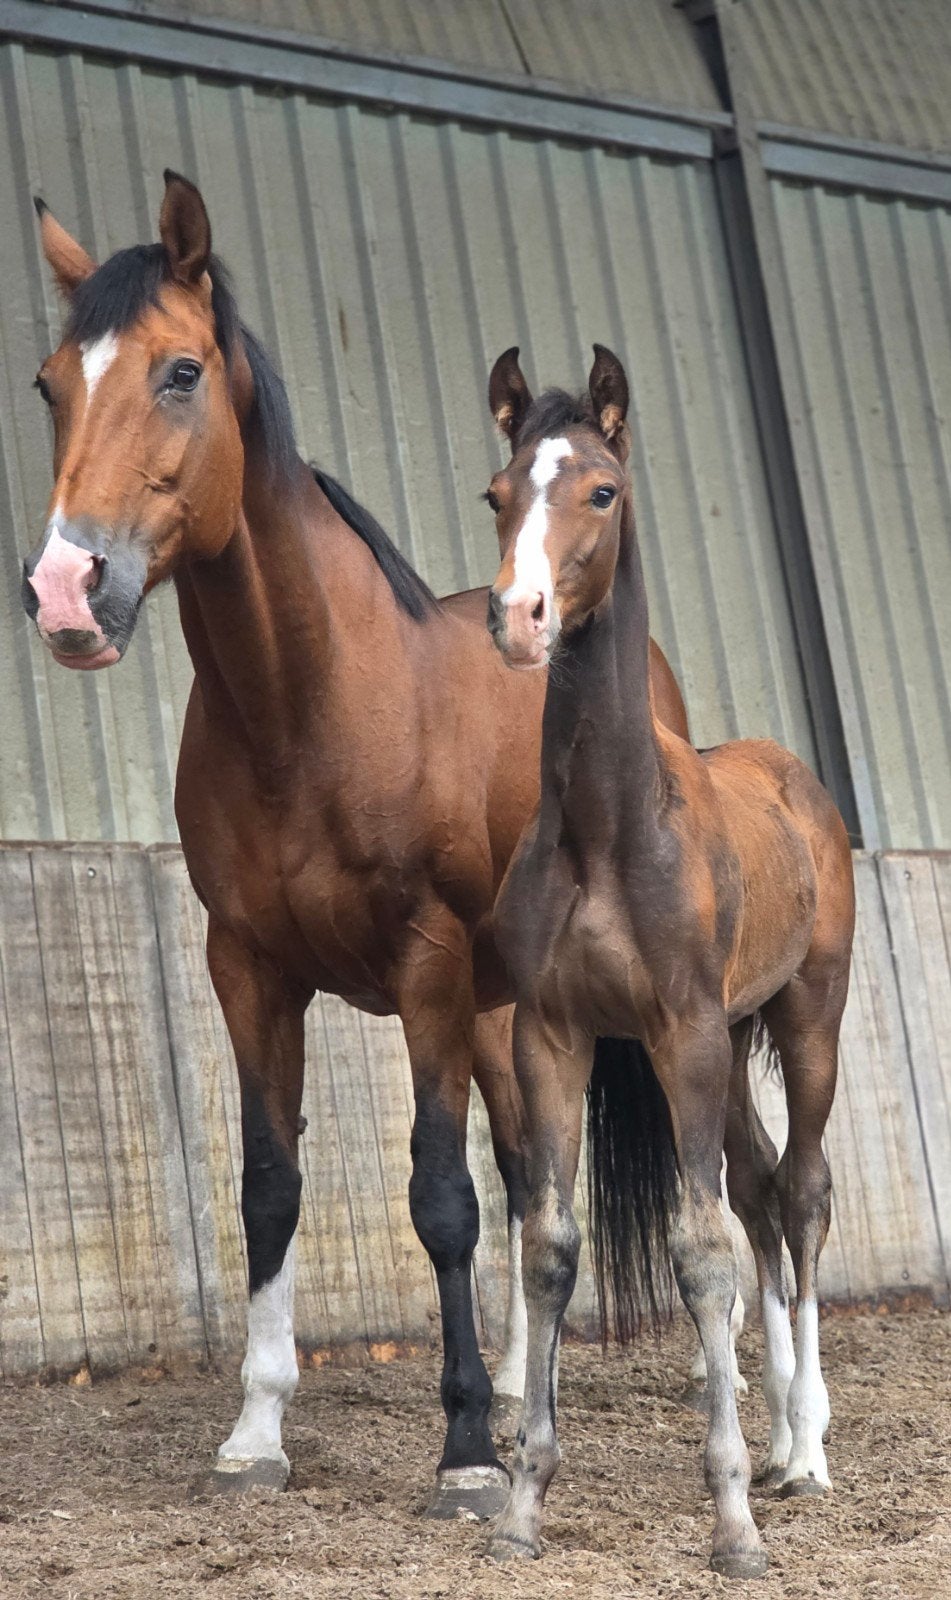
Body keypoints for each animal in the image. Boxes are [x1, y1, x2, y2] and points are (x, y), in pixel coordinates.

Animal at [20, 173, 690, 1519]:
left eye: (180, 371)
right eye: (50, 384)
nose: (68, 591)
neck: (313, 706)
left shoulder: (423, 965)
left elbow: (437, 1196)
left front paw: (467, 1449)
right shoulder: (251, 970)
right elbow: (271, 1184)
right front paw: (257, 1431)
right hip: (504, 1010)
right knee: (530, 1175)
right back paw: (533, 1396)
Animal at [481, 345, 855, 1575]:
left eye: (601, 490)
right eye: (498, 493)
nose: (519, 617)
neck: (611, 826)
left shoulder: (678, 1031)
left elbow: (702, 1248)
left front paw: (734, 1522)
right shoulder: (553, 1035)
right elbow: (552, 1243)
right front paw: (523, 1501)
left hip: (802, 1019)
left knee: (799, 1193)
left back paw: (807, 1453)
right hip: (732, 1047)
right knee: (761, 1181)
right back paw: (784, 1440)